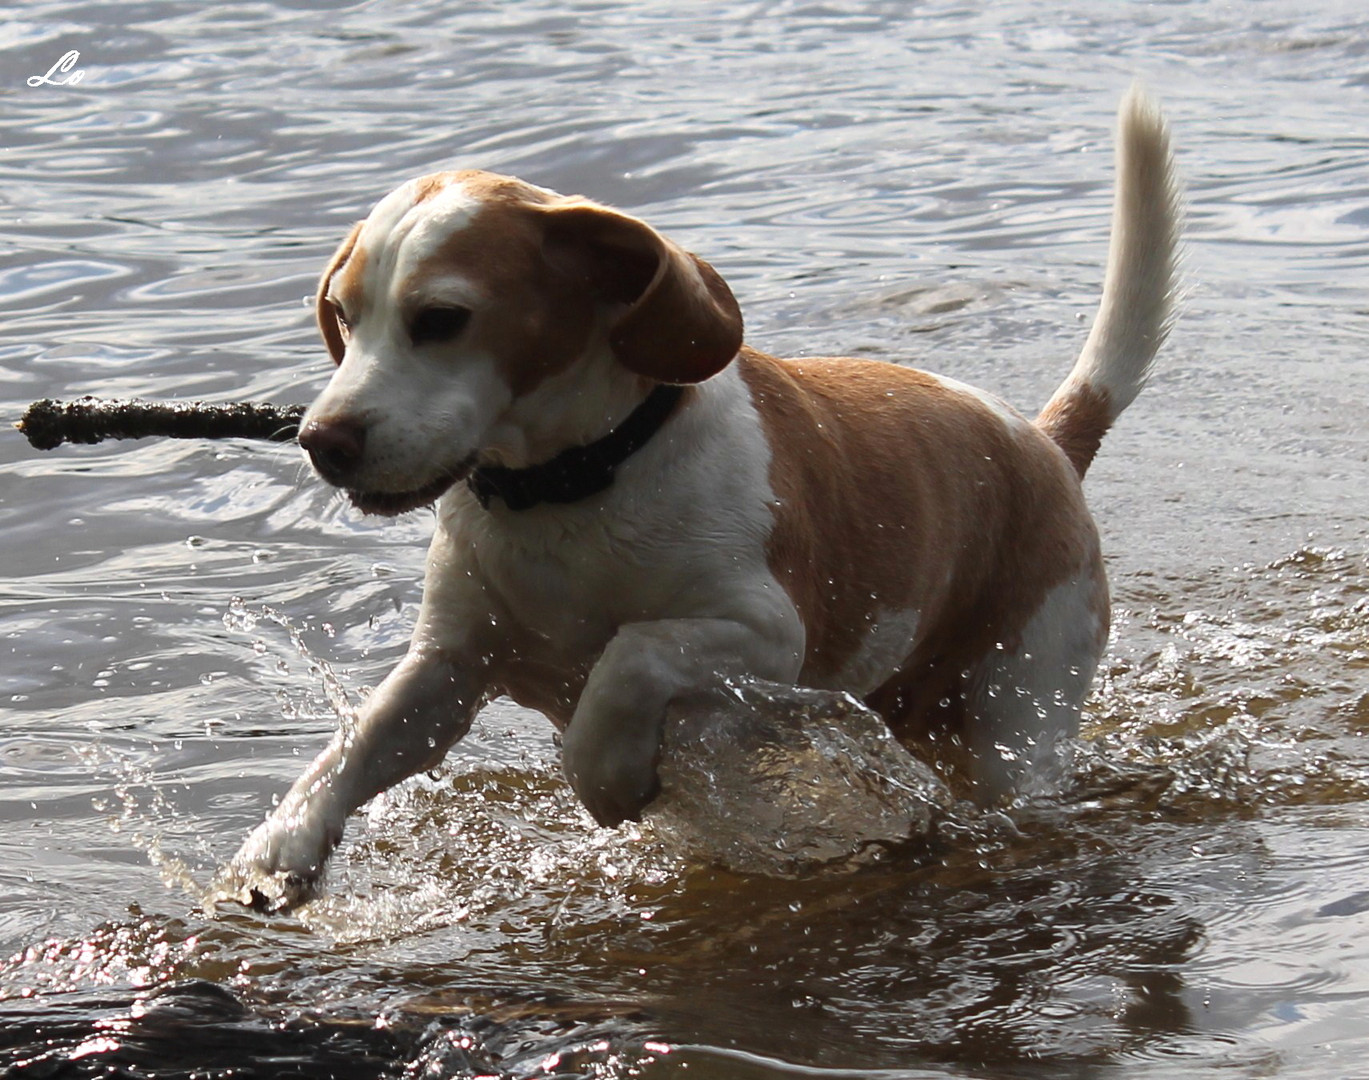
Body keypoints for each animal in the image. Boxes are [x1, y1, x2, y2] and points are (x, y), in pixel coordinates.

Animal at [224, 88, 1177, 903]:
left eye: (441, 319)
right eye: (342, 316)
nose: (322, 442)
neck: (567, 494)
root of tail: (1041, 440)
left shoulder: (761, 631)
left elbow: (629, 658)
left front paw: (605, 773)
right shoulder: (448, 669)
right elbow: (358, 745)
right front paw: (283, 844)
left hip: (1019, 710)